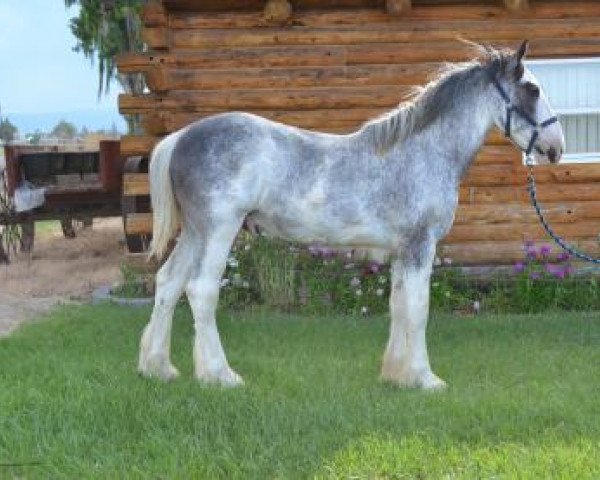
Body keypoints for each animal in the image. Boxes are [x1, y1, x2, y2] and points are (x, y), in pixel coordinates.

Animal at [138, 42, 564, 390]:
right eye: (533, 89)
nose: (556, 147)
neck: (423, 152)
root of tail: (180, 137)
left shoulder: (401, 253)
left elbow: (398, 306)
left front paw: (396, 375)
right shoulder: (419, 247)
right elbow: (419, 309)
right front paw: (425, 378)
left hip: (195, 233)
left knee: (169, 283)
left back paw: (158, 368)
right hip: (219, 231)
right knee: (200, 290)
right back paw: (220, 375)